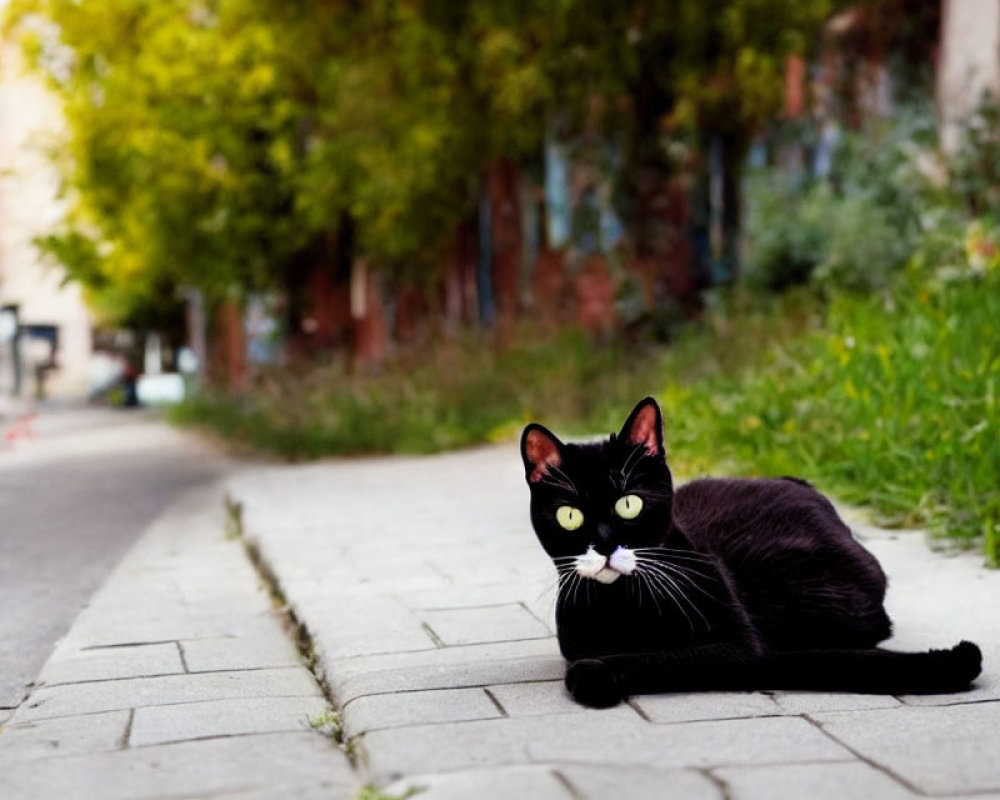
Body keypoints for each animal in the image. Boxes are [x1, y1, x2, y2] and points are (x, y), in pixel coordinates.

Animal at [524, 396, 984, 708]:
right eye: (569, 516)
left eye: (628, 504)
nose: (603, 545)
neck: (619, 603)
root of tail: (795, 481)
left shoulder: (737, 647)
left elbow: (650, 659)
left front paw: (597, 674)